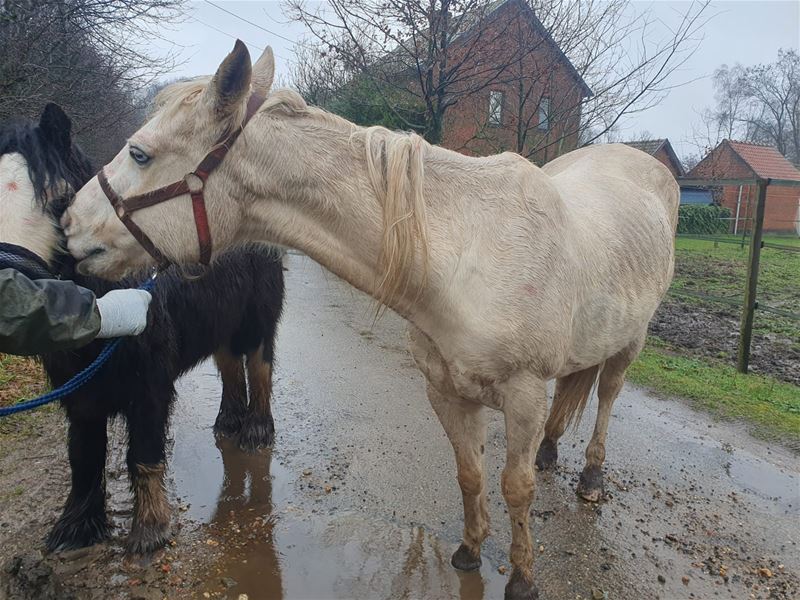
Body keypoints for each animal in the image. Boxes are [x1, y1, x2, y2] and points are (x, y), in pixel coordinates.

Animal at [0, 103, 288, 552]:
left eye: (60, 200)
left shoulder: (150, 386)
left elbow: (144, 453)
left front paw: (150, 528)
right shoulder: (81, 395)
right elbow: (83, 458)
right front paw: (77, 528)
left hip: (258, 319)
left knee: (258, 365)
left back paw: (256, 430)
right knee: (228, 365)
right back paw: (228, 421)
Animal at [64, 39, 676, 596]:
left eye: (140, 153)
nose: (69, 226)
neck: (468, 254)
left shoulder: (523, 394)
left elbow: (515, 487)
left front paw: (522, 579)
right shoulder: (447, 392)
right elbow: (470, 473)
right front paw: (469, 551)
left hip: (631, 341)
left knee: (607, 394)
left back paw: (592, 475)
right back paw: (551, 451)